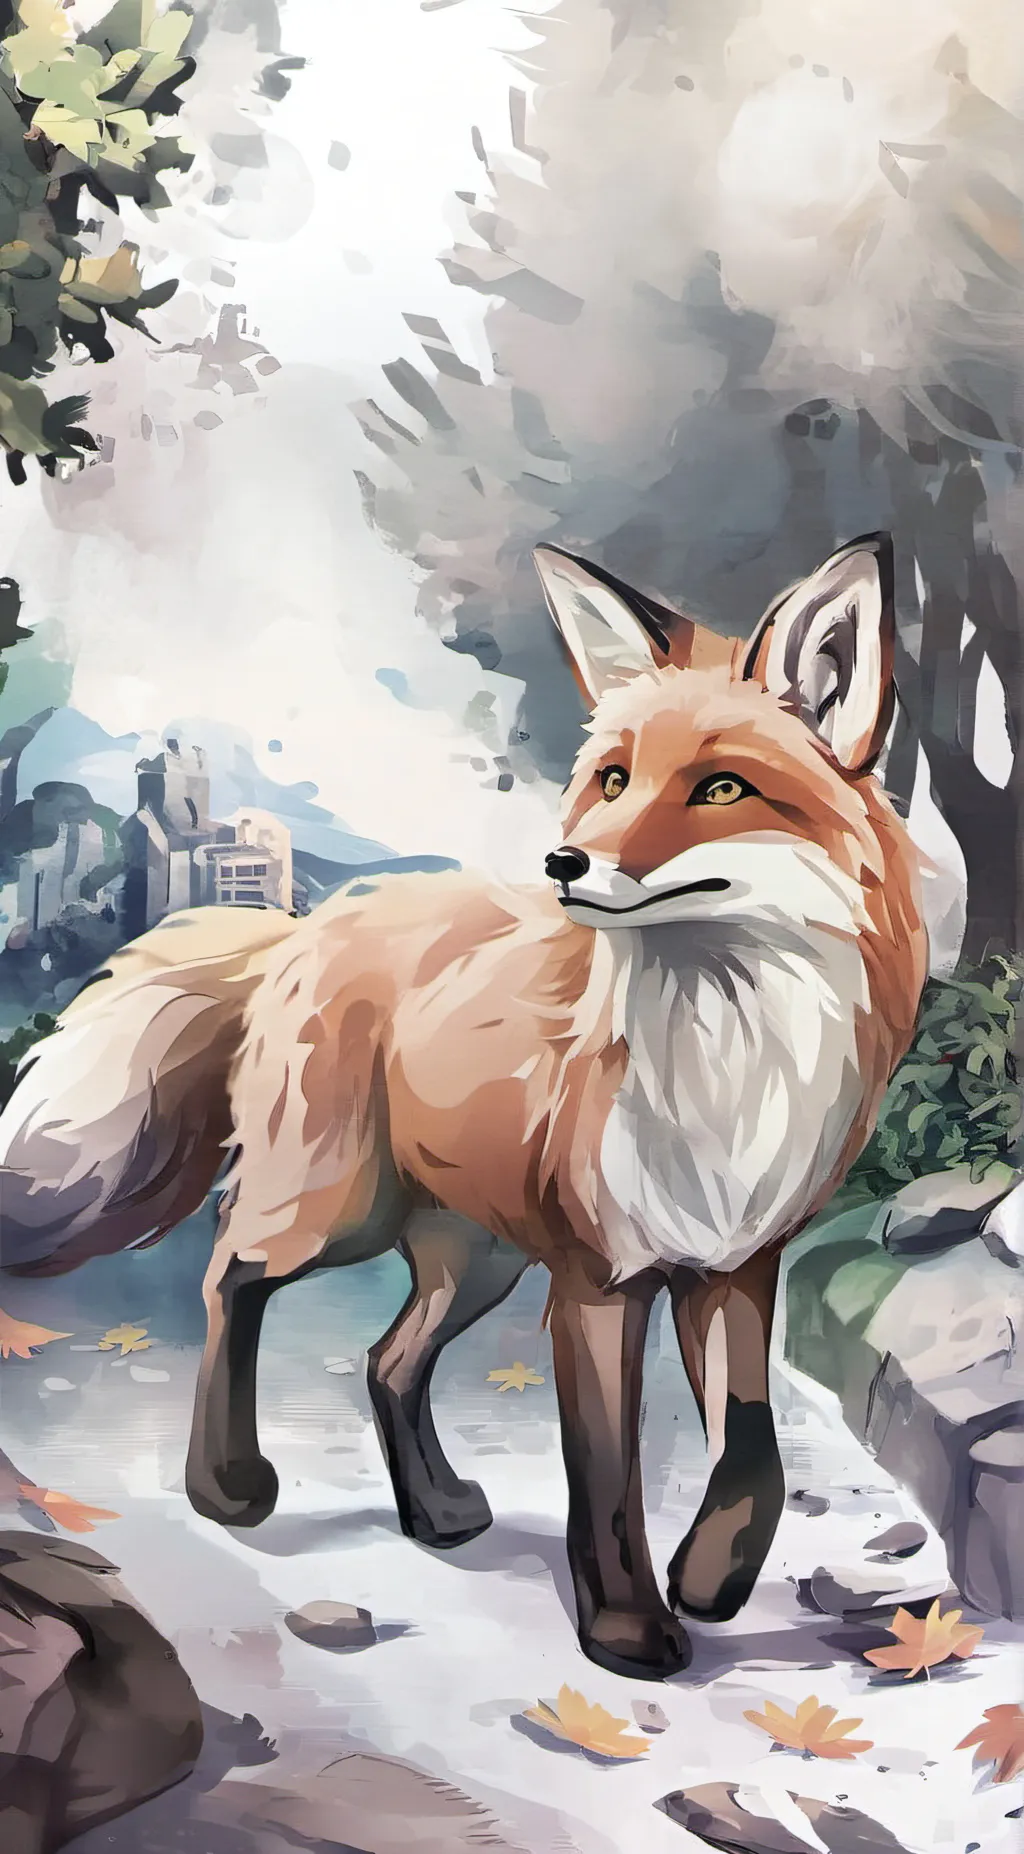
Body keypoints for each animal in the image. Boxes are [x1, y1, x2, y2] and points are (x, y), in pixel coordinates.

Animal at [0, 534, 927, 1681]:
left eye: (720, 787)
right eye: (613, 780)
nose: (564, 863)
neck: (721, 1060)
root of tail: (304, 926)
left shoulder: (733, 1266)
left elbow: (752, 1447)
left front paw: (713, 1578)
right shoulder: (597, 1283)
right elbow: (606, 1476)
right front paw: (626, 1630)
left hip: (477, 1256)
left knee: (388, 1362)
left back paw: (434, 1510)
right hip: (340, 1210)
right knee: (232, 1272)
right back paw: (227, 1484)